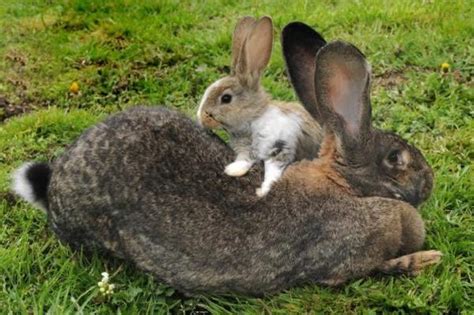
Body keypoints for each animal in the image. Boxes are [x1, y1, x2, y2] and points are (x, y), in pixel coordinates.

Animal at [197, 16, 326, 198]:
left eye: (226, 98)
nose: (202, 118)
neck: (253, 119)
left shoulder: (279, 147)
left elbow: (272, 171)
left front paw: (261, 190)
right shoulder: (246, 149)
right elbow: (245, 158)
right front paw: (234, 169)